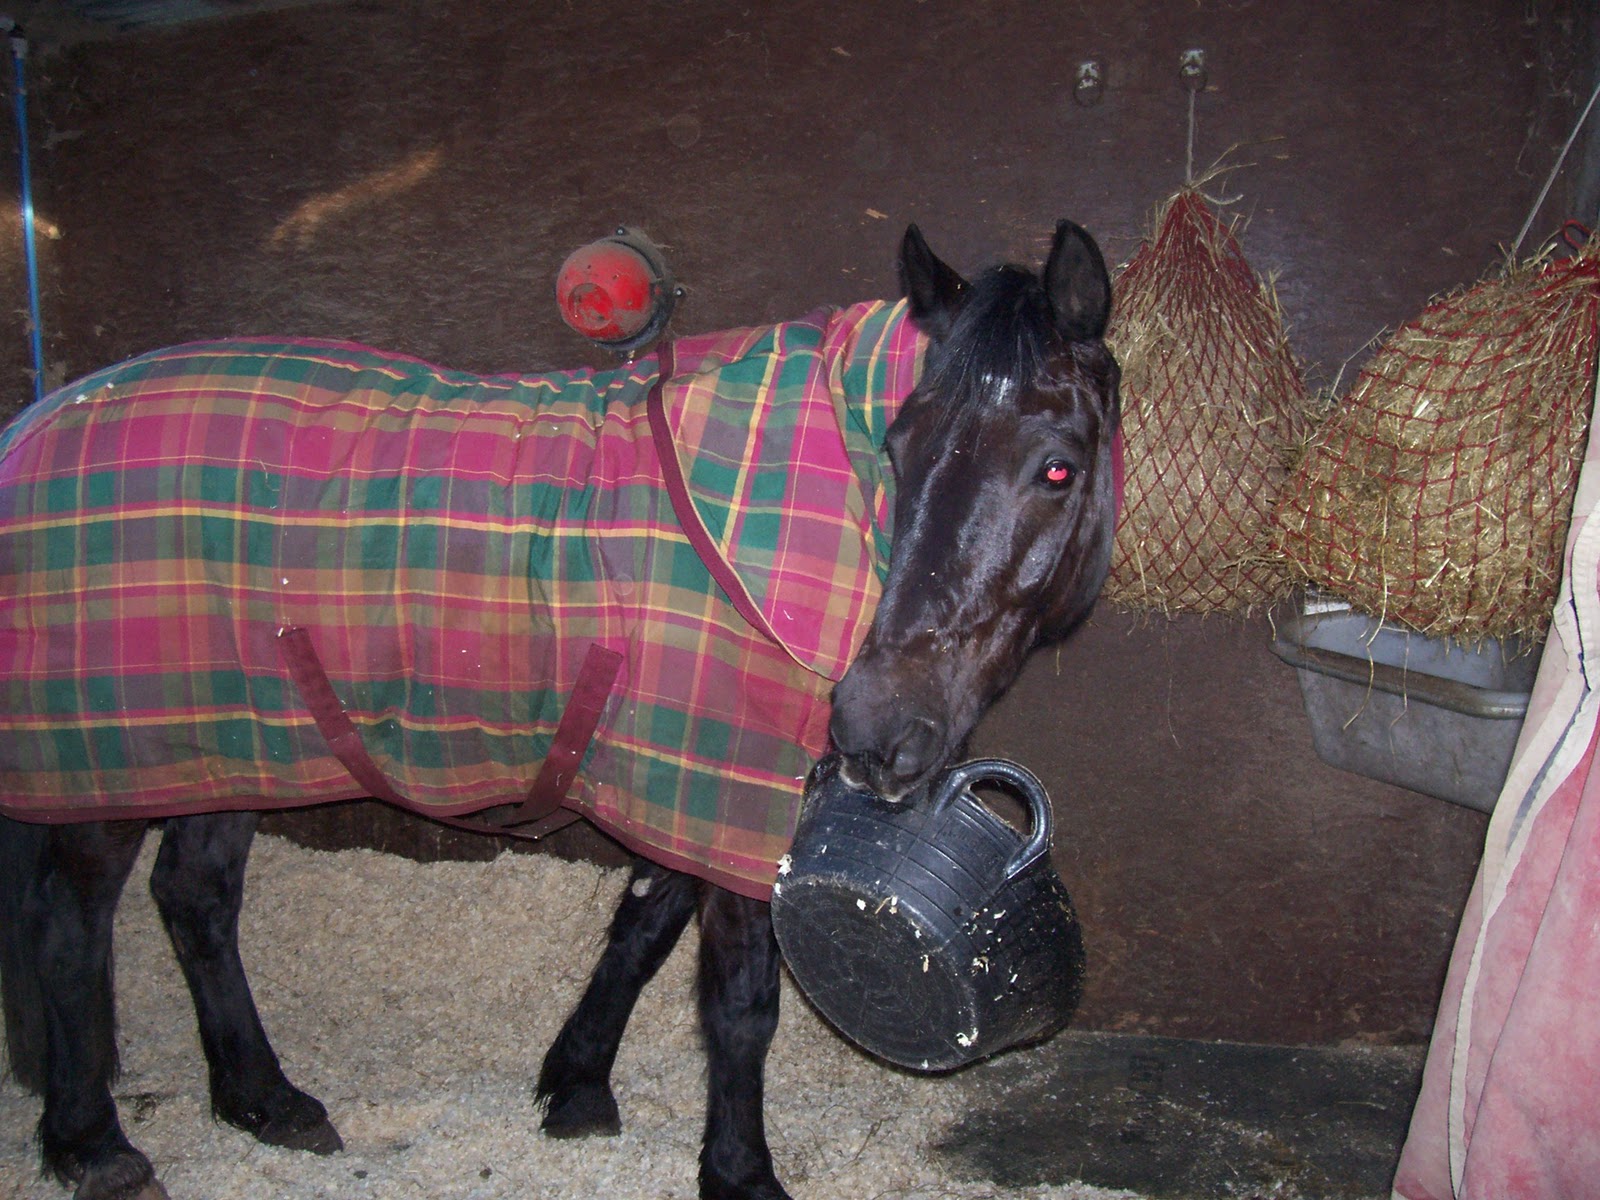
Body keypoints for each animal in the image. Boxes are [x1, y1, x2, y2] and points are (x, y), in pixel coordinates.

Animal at [0, 220, 1120, 1200]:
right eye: (898, 445)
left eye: (1058, 464)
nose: (880, 728)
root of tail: (35, 426)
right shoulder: (726, 783)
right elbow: (740, 1001)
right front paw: (739, 1172)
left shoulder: (692, 773)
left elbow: (642, 926)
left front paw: (576, 1084)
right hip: (112, 756)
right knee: (68, 923)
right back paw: (94, 1144)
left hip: (235, 743)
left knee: (195, 898)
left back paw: (264, 1099)